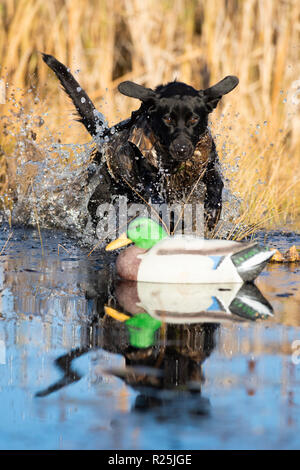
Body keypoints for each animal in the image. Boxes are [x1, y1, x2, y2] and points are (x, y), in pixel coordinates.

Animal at [42, 54, 239, 234]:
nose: (181, 149)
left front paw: (212, 210)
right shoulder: (152, 184)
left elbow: (216, 183)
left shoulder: (209, 165)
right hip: (103, 195)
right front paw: (176, 223)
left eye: (194, 119)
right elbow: (162, 206)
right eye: (167, 119)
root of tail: (105, 136)